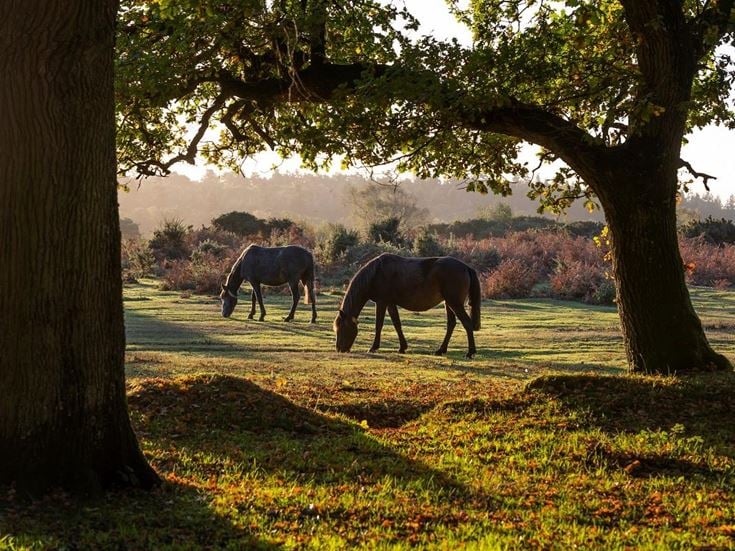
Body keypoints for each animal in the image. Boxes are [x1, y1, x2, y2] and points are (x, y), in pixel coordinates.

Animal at [333, 253, 481, 358]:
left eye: (342, 328)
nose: (339, 349)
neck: (376, 274)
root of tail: (466, 267)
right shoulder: (390, 303)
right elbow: (397, 324)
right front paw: (402, 347)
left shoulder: (381, 302)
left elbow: (379, 325)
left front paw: (373, 347)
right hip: (448, 303)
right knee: (451, 324)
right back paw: (440, 350)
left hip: (454, 303)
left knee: (467, 323)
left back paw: (470, 353)